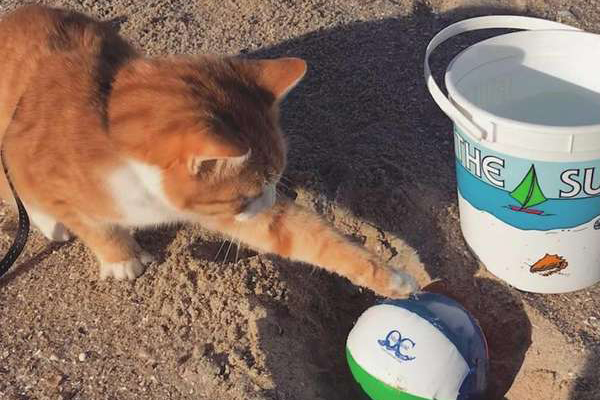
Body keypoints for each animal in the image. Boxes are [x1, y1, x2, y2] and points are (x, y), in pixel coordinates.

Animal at [0, 3, 418, 296]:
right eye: (251, 191)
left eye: (275, 183)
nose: (269, 200)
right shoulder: (29, 164)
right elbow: (92, 224)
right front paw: (122, 259)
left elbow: (304, 236)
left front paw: (394, 278)